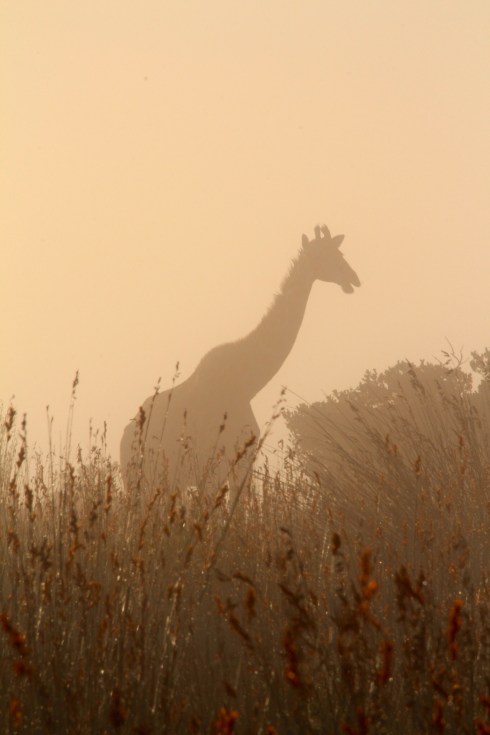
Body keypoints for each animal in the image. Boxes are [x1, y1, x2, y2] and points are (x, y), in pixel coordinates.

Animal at [120, 225, 360, 494]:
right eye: (323, 255)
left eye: (339, 252)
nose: (353, 279)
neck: (247, 384)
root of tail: (122, 441)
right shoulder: (219, 466)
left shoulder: (240, 464)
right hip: (143, 482)